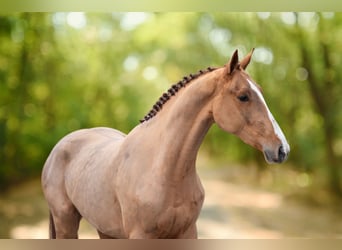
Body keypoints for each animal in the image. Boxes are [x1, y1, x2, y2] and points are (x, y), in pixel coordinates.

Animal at [41, 48, 290, 238]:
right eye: (243, 96)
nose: (282, 149)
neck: (163, 168)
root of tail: (58, 147)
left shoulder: (187, 232)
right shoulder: (141, 236)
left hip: (106, 230)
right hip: (66, 223)